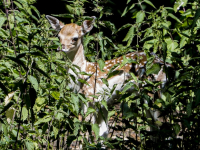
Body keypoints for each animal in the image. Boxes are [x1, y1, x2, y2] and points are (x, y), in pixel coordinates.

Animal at [46, 15, 173, 145]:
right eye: (59, 36)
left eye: (75, 38)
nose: (60, 48)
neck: (83, 72)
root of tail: (166, 65)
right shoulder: (99, 104)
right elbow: (103, 133)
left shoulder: (90, 99)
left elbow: (85, 130)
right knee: (154, 127)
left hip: (153, 91)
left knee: (165, 124)